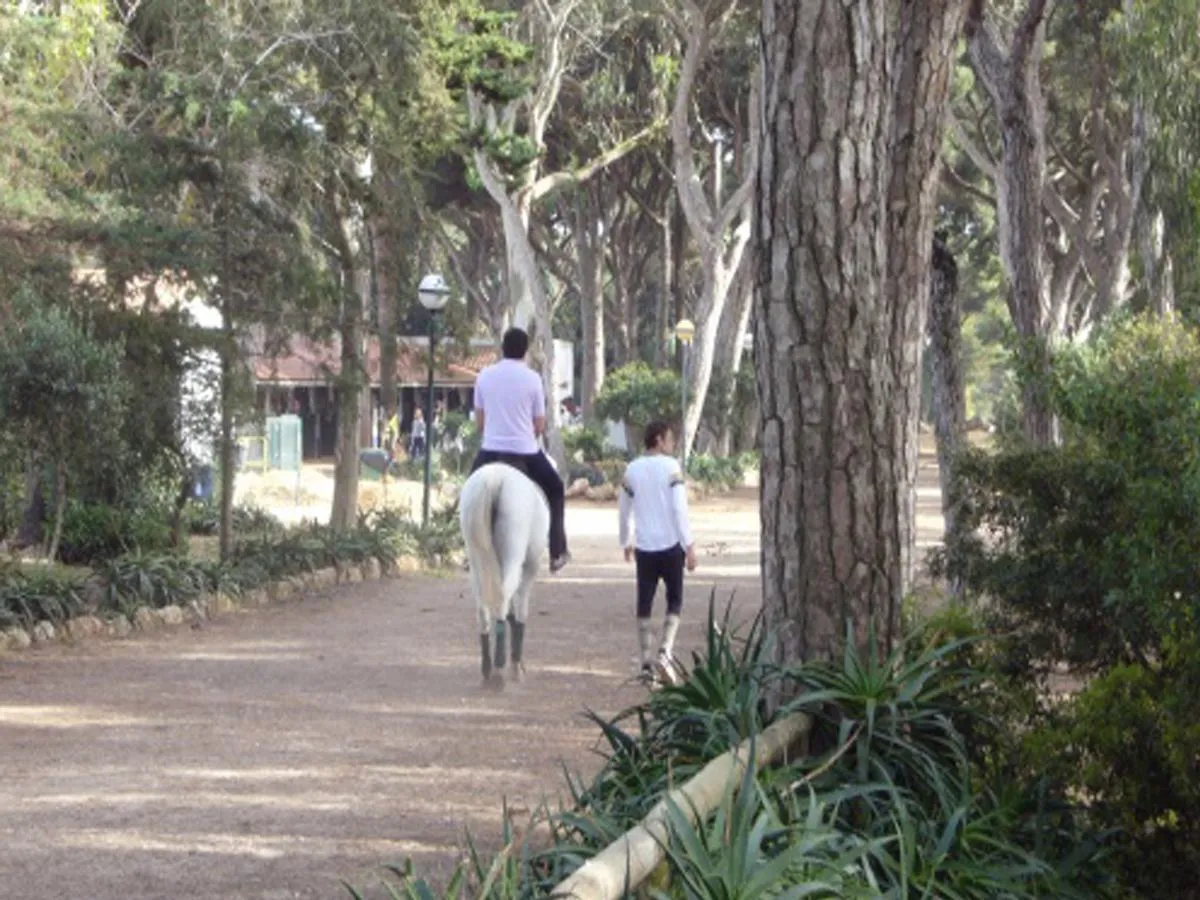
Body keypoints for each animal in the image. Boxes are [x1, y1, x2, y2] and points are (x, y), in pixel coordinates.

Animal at [460, 460, 549, 686]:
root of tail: (494, 480)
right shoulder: (530, 565)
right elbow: (521, 610)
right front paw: (517, 665)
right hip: (514, 552)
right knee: (504, 596)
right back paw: (500, 670)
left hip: (476, 558)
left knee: (483, 608)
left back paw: (487, 669)